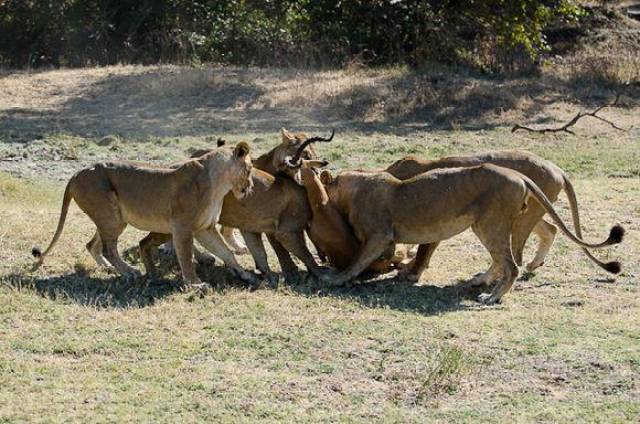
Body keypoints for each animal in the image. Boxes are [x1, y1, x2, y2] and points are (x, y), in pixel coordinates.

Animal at [31, 142, 262, 288]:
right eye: (250, 168)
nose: (251, 187)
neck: (219, 184)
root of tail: (75, 174)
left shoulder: (205, 228)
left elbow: (227, 253)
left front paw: (245, 274)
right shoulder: (183, 227)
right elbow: (186, 256)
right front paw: (195, 284)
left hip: (110, 218)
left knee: (92, 245)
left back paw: (109, 269)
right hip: (111, 216)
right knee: (109, 248)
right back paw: (129, 271)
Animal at [318, 164, 624, 304]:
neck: (353, 185)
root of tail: (519, 175)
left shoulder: (380, 235)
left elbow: (357, 260)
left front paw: (336, 279)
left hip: (491, 223)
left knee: (512, 264)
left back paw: (491, 297)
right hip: (489, 224)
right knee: (506, 259)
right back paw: (482, 282)